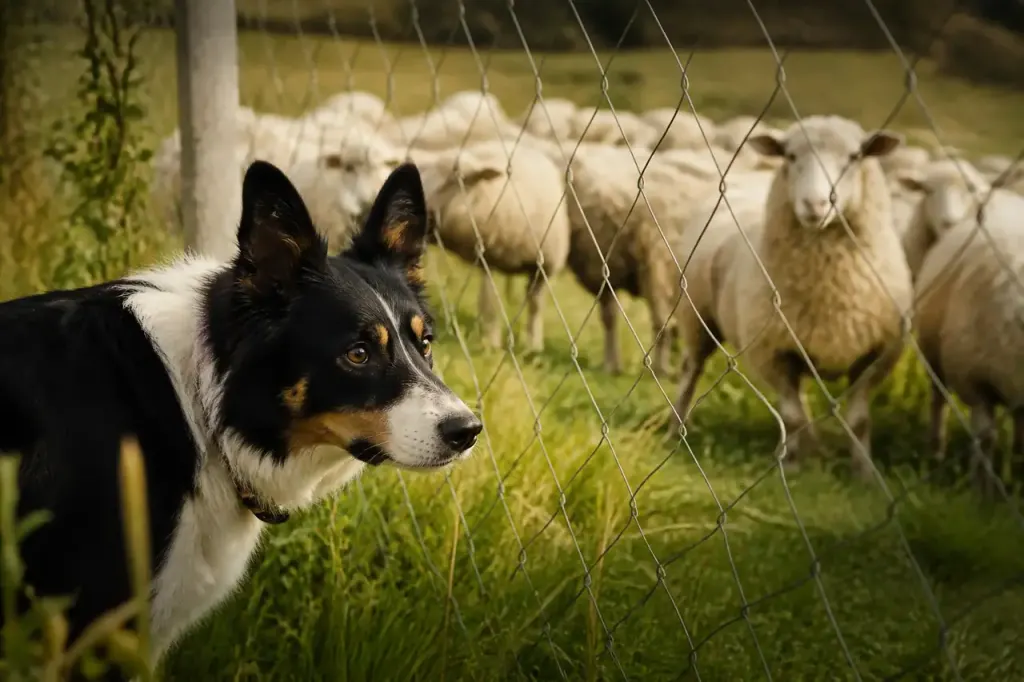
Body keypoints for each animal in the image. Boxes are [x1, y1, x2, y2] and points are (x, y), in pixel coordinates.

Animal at [415, 140, 571, 352]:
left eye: (455, 179)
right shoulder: (488, 261)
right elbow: (489, 304)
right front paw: (491, 343)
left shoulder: (544, 268)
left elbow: (535, 307)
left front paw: (533, 346)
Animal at [559, 143, 716, 375]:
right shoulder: (608, 270)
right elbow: (610, 317)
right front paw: (612, 365)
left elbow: (611, 317)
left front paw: (611, 365)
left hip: (659, 265)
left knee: (663, 322)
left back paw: (661, 369)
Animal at [673, 115, 912, 479]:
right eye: (790, 156)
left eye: (854, 157)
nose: (815, 204)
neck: (832, 289)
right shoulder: (773, 352)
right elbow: (794, 416)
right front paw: (798, 462)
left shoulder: (879, 354)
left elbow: (858, 420)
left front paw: (865, 472)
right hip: (697, 317)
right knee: (692, 369)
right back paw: (676, 426)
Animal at [911, 189, 1024, 496]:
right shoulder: (976, 380)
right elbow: (985, 438)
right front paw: (981, 494)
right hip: (933, 355)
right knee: (938, 400)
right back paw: (935, 451)